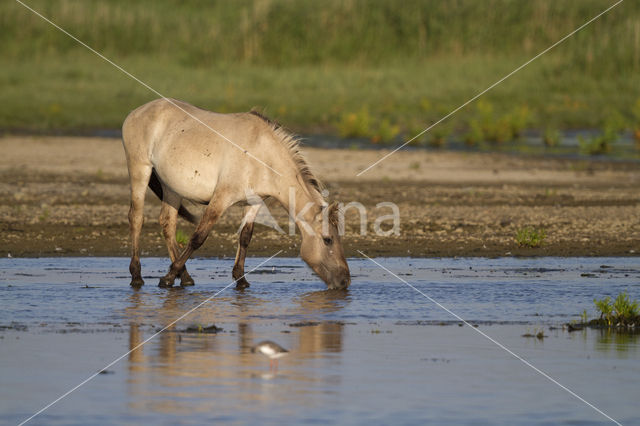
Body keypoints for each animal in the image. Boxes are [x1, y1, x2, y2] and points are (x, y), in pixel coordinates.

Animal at [120, 98, 350, 290]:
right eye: (328, 240)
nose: (344, 280)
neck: (262, 154)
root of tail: (135, 112)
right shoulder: (221, 198)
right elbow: (198, 237)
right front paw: (167, 278)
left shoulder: (255, 202)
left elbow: (245, 237)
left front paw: (241, 279)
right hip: (139, 169)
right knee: (137, 218)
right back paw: (137, 276)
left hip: (171, 187)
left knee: (168, 223)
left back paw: (185, 277)